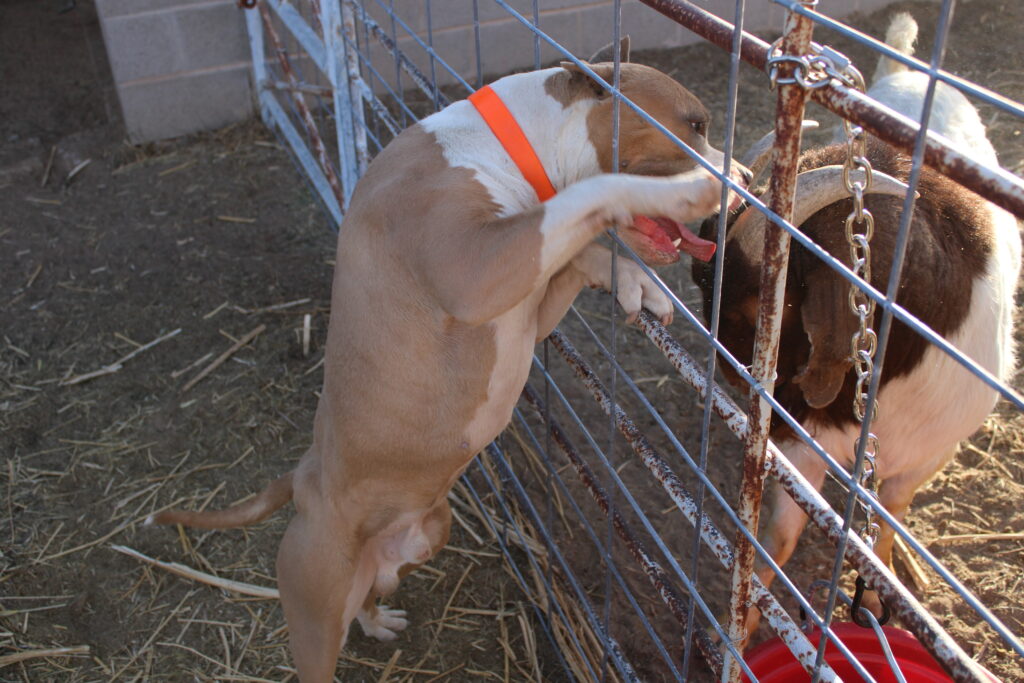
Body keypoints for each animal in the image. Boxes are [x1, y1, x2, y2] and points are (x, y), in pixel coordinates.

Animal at [692, 12, 1019, 643]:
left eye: (756, 305)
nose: (727, 370)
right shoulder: (802, 437)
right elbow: (780, 538)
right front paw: (738, 630)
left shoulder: (931, 451)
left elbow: (891, 516)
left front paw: (890, 576)